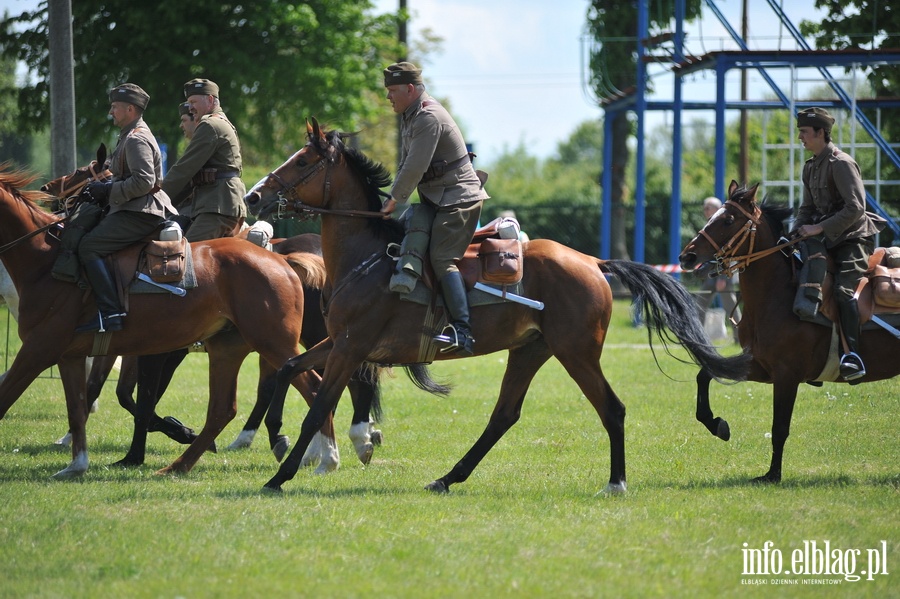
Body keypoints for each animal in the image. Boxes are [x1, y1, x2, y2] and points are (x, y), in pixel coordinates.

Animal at [0, 166, 322, 480]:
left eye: (82, 173)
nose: (48, 189)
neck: (45, 263)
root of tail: (282, 261)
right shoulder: (77, 354)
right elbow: (87, 402)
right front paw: (79, 460)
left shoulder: (41, 350)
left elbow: (138, 401)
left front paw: (141, 450)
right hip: (229, 349)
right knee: (227, 407)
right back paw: (186, 463)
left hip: (274, 342)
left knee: (310, 385)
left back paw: (312, 455)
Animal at [241, 119, 752, 494]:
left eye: (302, 160)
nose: (253, 195)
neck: (364, 255)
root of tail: (591, 261)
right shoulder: (338, 342)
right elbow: (287, 369)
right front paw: (279, 437)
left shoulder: (351, 347)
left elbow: (317, 404)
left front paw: (281, 475)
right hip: (530, 351)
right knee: (504, 415)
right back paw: (448, 478)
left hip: (576, 353)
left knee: (613, 409)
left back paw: (616, 483)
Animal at [680, 180, 896, 486]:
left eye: (728, 219)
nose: (686, 256)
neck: (777, 293)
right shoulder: (761, 366)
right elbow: (705, 375)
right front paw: (717, 425)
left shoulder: (787, 375)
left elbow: (779, 426)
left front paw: (772, 475)